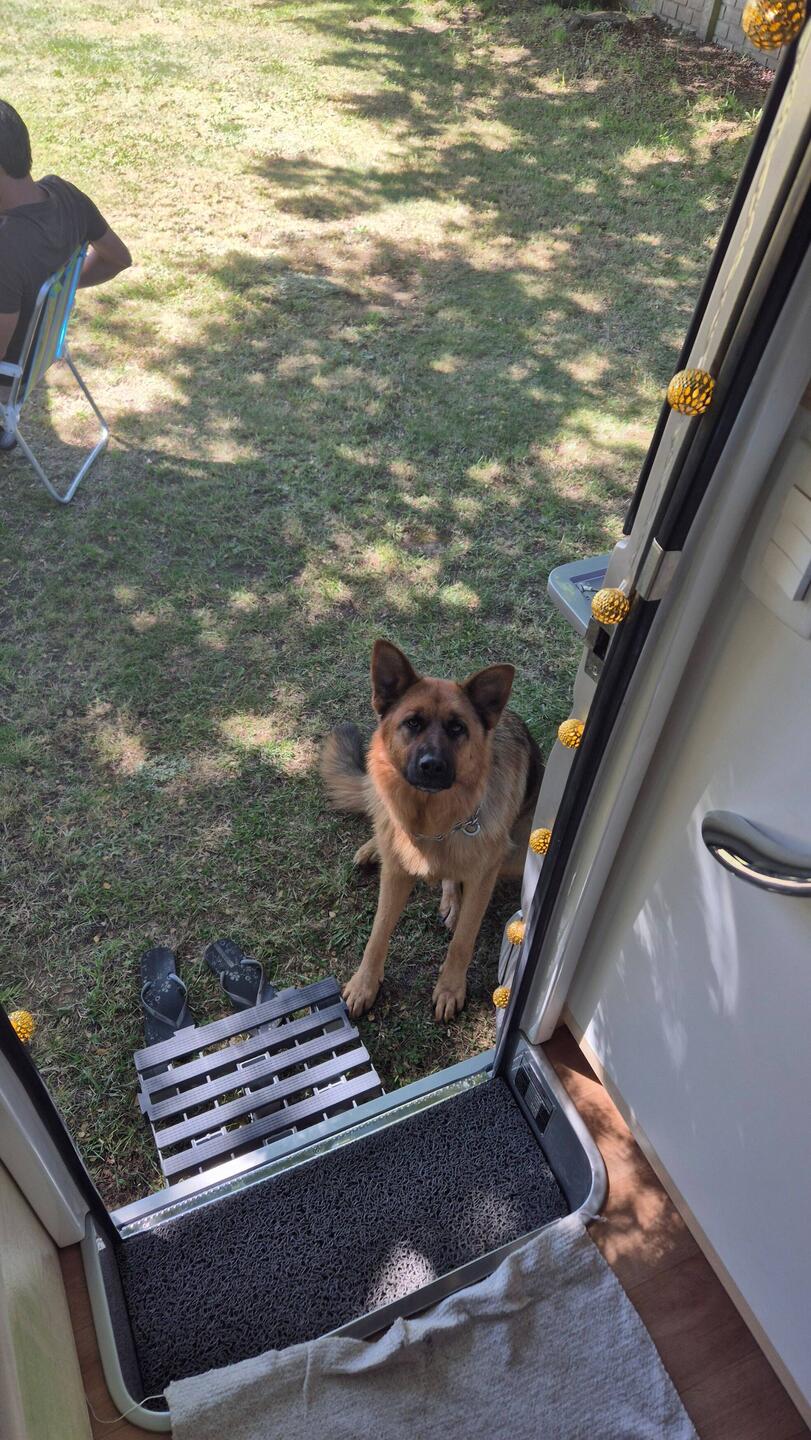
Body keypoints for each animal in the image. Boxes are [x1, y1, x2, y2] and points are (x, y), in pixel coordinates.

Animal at [321, 639, 543, 1023]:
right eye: (413, 723)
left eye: (457, 729)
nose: (432, 766)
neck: (433, 825)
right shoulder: (395, 876)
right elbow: (377, 934)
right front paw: (365, 984)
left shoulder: (484, 877)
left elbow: (463, 940)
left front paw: (450, 988)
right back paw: (374, 847)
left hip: (517, 856)